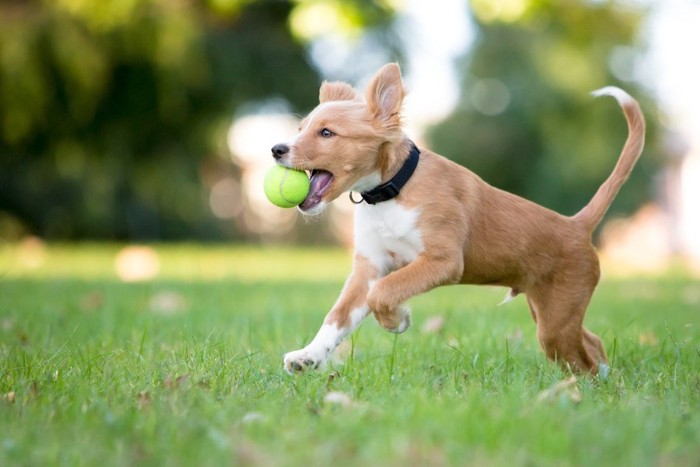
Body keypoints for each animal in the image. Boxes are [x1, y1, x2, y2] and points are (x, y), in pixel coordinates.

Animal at [272, 63, 644, 376]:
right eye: (301, 128)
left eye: (326, 133)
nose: (276, 149)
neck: (391, 192)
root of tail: (576, 224)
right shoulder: (370, 266)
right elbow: (337, 316)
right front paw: (309, 356)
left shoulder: (443, 260)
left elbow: (385, 291)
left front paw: (397, 321)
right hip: (549, 312)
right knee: (591, 344)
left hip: (557, 317)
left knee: (584, 360)